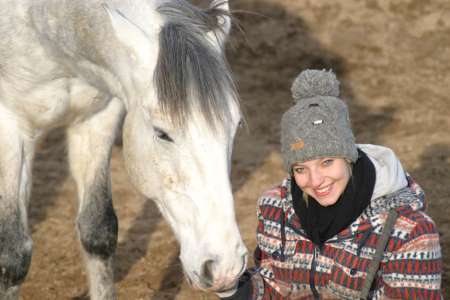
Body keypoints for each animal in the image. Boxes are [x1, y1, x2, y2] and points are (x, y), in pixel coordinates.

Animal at [0, 0, 246, 298]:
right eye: (162, 133)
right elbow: (13, 255)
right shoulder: (9, 127)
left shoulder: (98, 116)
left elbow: (98, 230)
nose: (226, 267)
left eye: (236, 125)